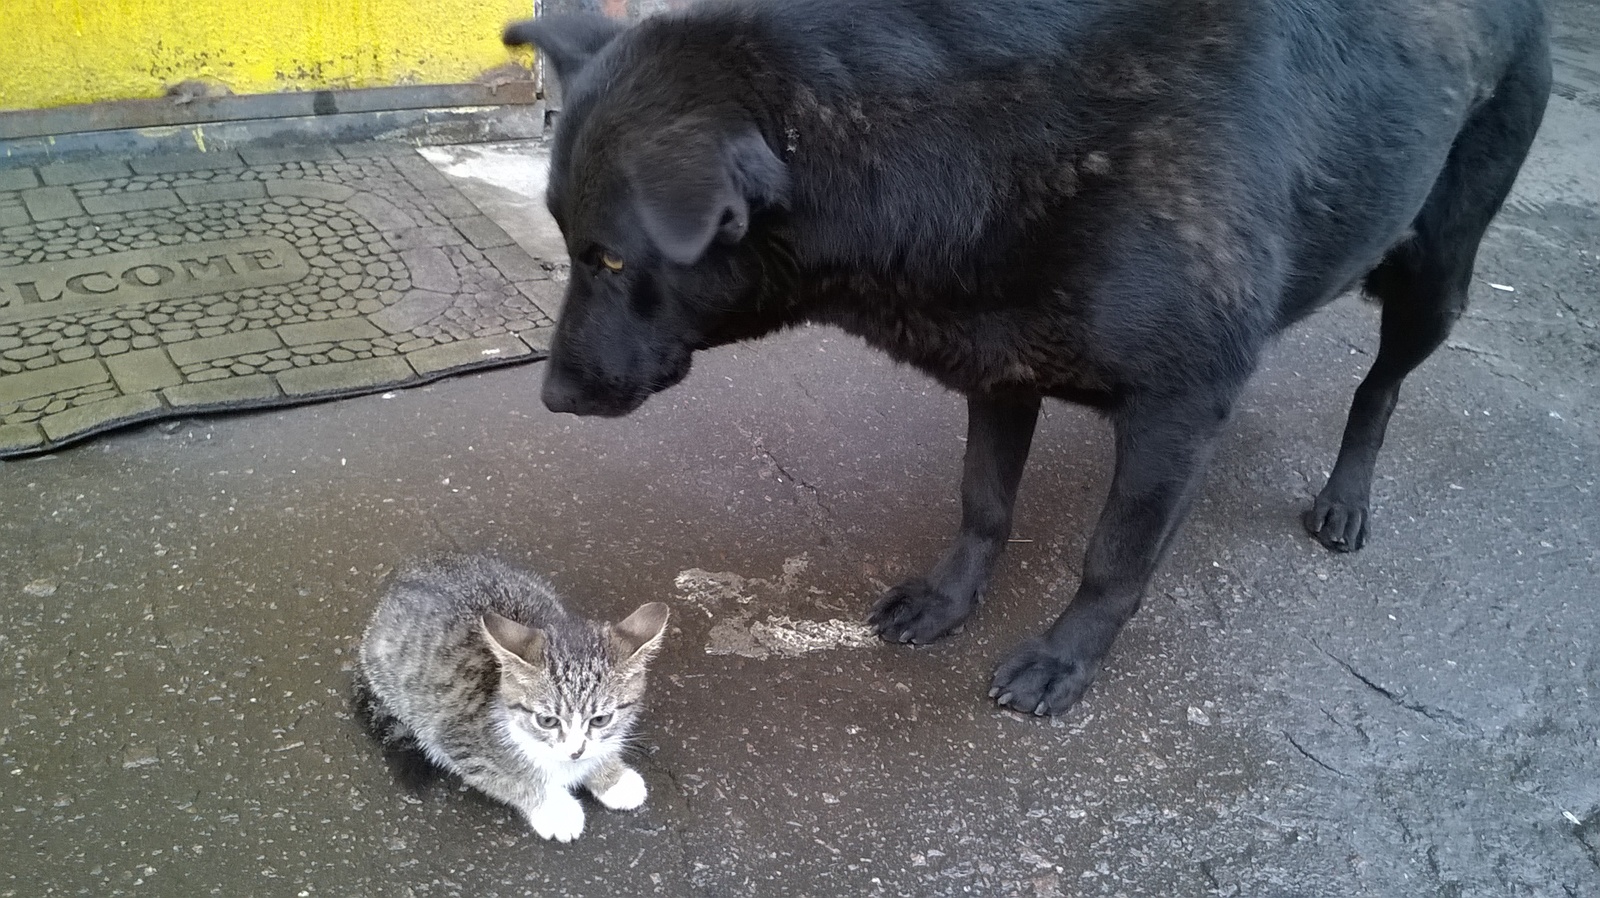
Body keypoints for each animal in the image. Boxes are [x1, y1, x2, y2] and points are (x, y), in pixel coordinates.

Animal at [356, 553, 668, 838]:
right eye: (547, 721)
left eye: (600, 719)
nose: (575, 752)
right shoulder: (459, 742)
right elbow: (510, 779)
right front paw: (556, 810)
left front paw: (612, 776)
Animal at [502, 0, 1548, 713]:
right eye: (568, 244)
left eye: (611, 258)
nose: (550, 397)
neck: (970, 135)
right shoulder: (1000, 367)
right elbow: (984, 503)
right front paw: (951, 596)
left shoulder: (1174, 405)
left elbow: (1115, 556)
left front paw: (1068, 653)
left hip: (1434, 279)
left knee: (1381, 389)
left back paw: (1347, 496)